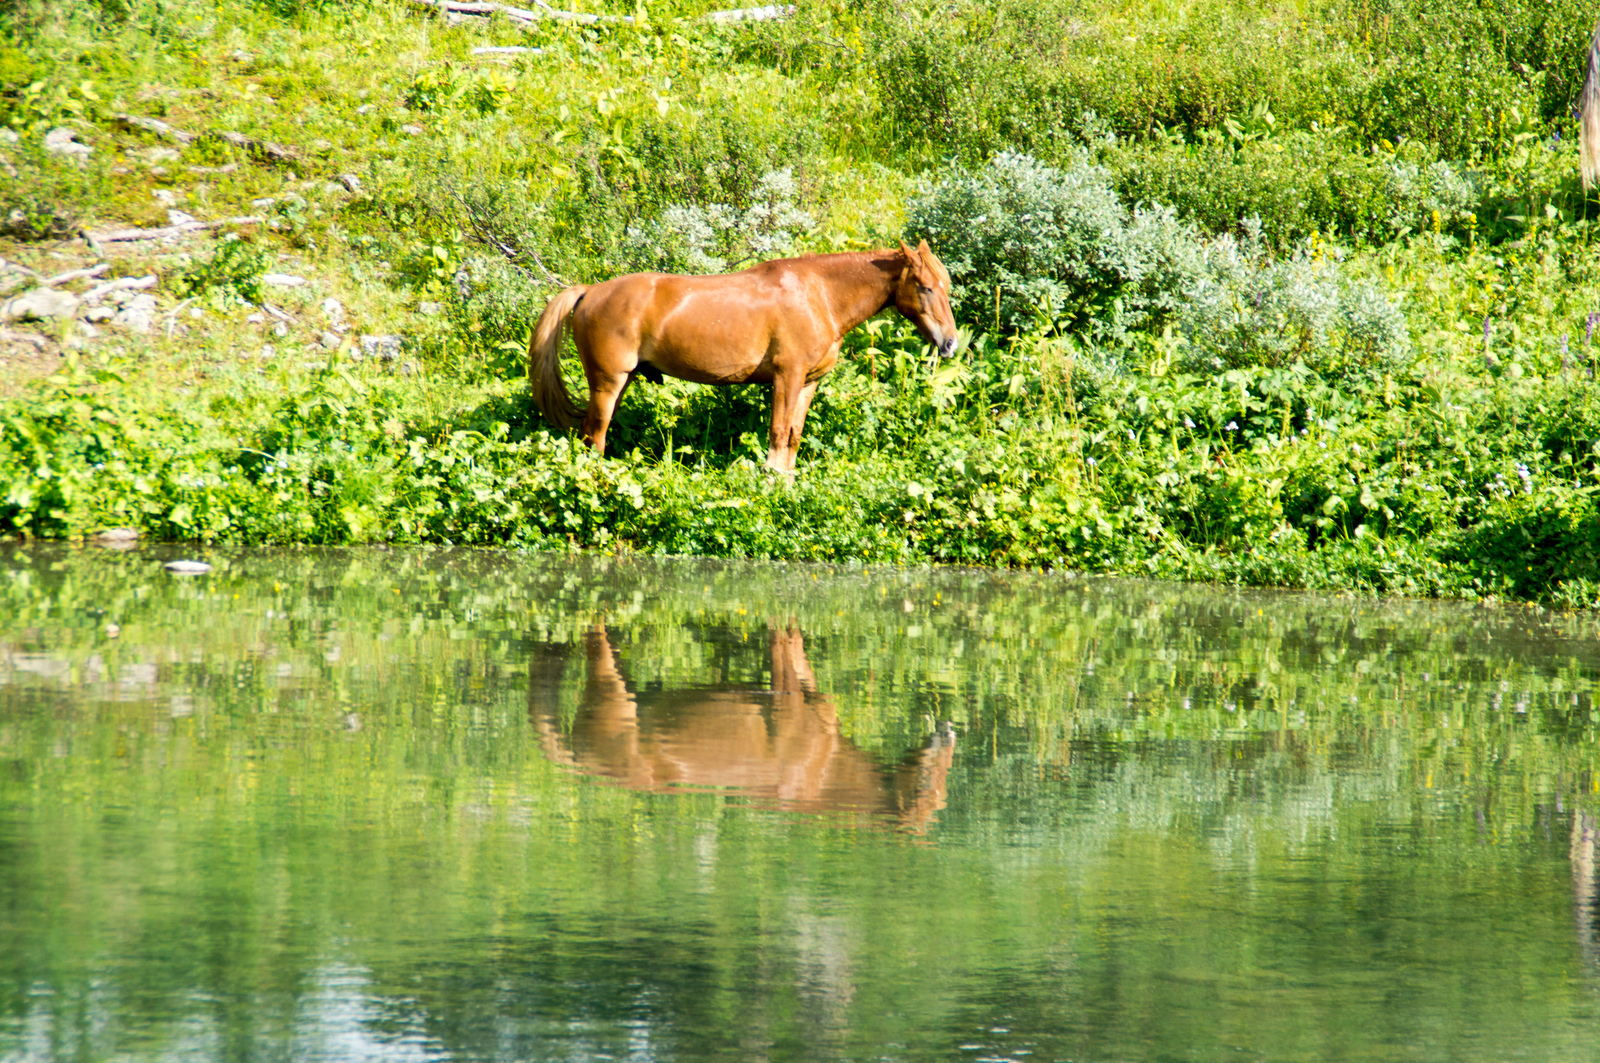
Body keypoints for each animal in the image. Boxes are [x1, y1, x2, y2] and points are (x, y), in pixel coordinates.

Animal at [524, 243, 953, 473]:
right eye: (925, 287)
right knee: (593, 435)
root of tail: (589, 291)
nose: (949, 343)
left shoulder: (808, 382)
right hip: (608, 383)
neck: (820, 294)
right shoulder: (787, 375)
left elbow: (793, 435)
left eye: (945, 286)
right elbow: (778, 432)